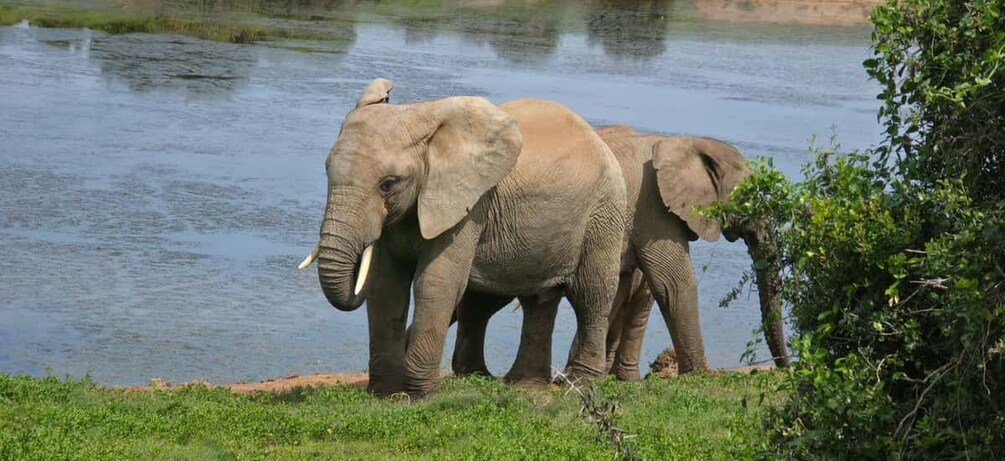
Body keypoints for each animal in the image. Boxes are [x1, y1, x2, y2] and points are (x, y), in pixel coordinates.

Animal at [299, 78, 627, 397]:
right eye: (327, 171)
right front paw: (385, 393)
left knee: (591, 295)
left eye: (388, 184)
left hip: (604, 213)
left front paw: (421, 396)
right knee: (526, 300)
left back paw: (579, 384)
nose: (386, 95)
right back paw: (512, 382)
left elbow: (436, 283)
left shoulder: (469, 206)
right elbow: (386, 284)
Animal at [452, 124, 788, 382]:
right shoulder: (654, 210)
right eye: (750, 196)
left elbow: (623, 289)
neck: (686, 143)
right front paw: (702, 376)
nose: (784, 368)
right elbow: (673, 283)